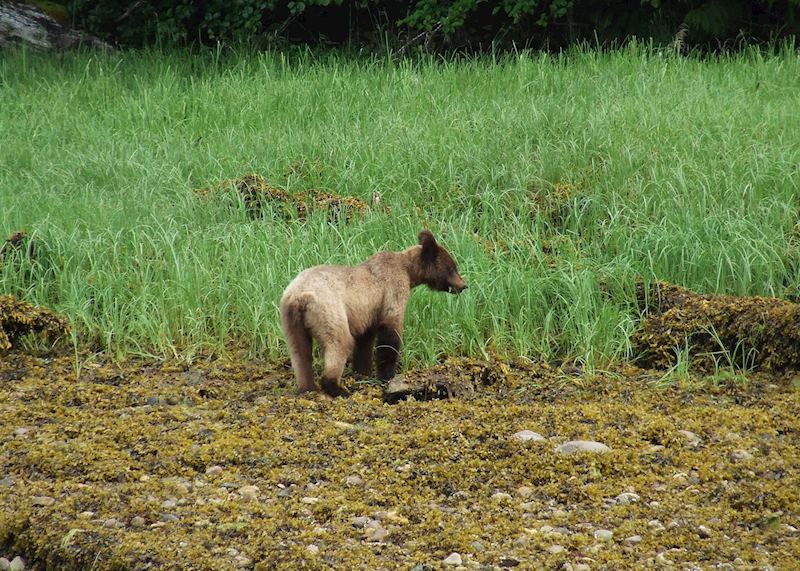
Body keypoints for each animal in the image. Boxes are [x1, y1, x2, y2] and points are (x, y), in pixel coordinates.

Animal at [280, 230, 467, 397]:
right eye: (452, 267)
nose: (464, 285)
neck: (409, 271)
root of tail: (299, 296)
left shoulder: (367, 312)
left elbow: (365, 341)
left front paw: (362, 371)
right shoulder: (393, 290)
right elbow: (390, 332)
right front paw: (387, 376)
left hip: (290, 319)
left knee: (299, 350)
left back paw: (307, 386)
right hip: (328, 310)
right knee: (340, 341)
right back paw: (336, 388)